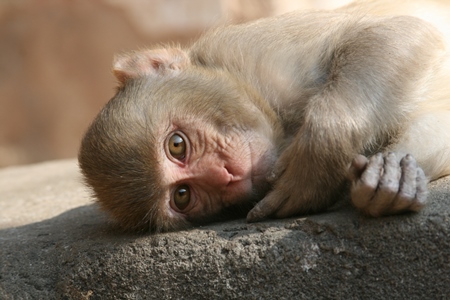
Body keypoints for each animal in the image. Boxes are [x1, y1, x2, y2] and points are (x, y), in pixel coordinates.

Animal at [78, 0, 450, 232]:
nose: (226, 175)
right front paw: (393, 176)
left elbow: (402, 33)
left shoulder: (256, 51)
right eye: (182, 196)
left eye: (177, 145)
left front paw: (319, 157)